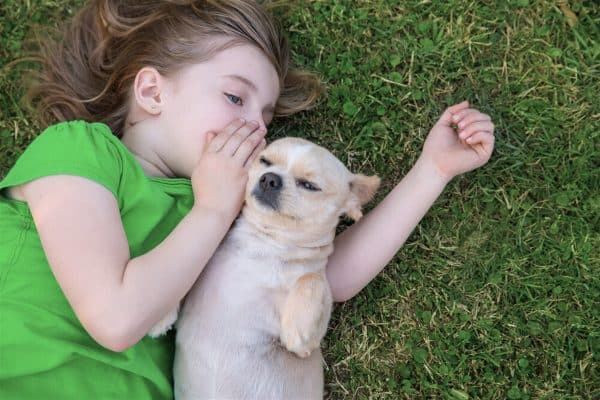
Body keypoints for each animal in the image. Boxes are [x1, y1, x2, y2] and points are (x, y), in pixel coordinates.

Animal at [152, 137, 380, 399]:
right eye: (265, 161)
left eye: (309, 185)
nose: (270, 178)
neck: (264, 242)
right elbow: (183, 272)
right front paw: (159, 313)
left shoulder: (308, 342)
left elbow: (311, 278)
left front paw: (296, 329)